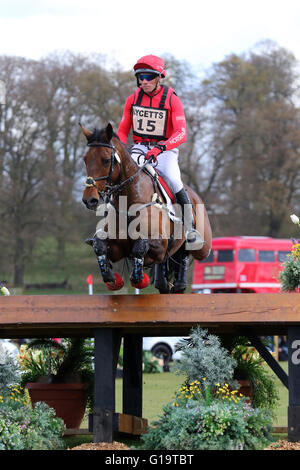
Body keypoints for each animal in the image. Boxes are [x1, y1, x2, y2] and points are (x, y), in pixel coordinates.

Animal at [80, 123, 211, 292]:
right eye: (85, 160)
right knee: (165, 281)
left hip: (203, 248)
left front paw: (138, 279)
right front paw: (112, 278)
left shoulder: (159, 247)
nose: (89, 200)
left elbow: (140, 246)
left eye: (106, 160)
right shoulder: (117, 248)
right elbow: (99, 245)